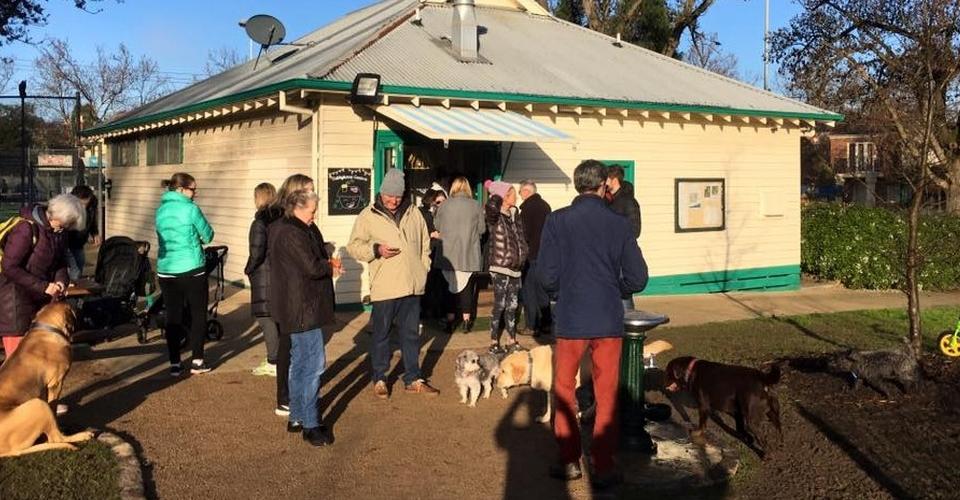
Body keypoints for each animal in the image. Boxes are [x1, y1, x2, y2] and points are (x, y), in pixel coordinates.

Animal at [0, 300, 94, 458]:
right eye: (73, 308)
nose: (81, 304)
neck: (46, 327)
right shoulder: (55, 384)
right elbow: (54, 408)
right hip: (38, 405)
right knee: (55, 438)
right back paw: (81, 436)